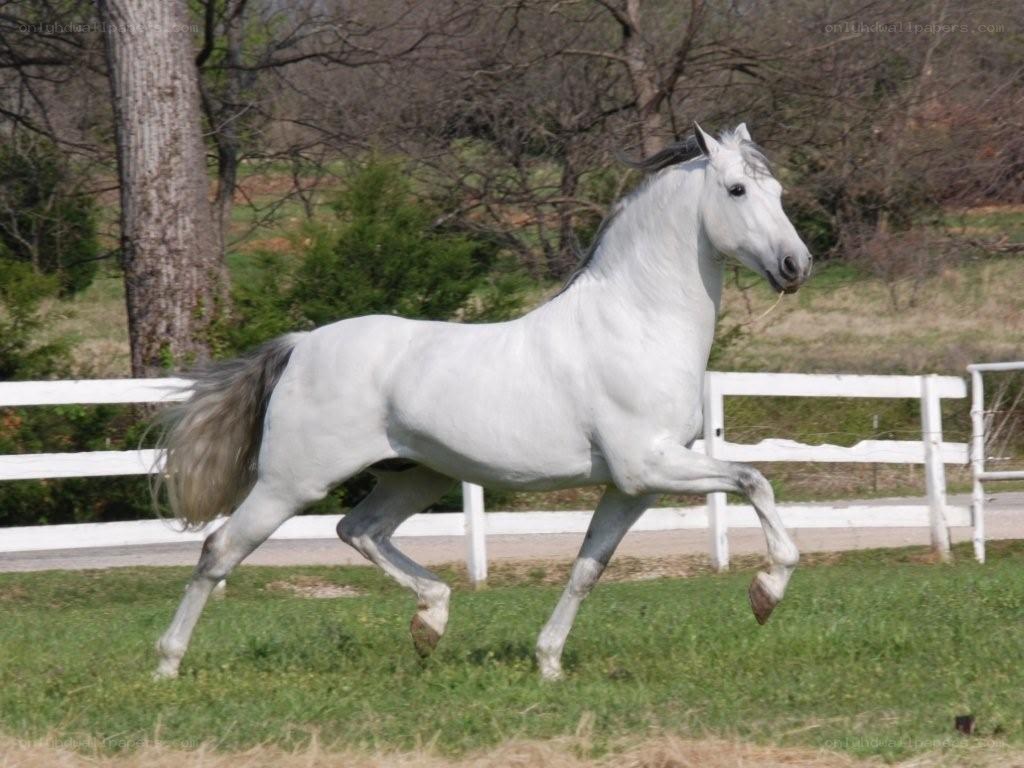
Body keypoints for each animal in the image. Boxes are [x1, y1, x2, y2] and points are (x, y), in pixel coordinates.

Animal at [153, 122, 813, 681]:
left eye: (778, 190)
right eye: (736, 189)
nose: (796, 265)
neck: (638, 323)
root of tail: (301, 345)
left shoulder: (634, 488)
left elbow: (587, 569)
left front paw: (548, 664)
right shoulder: (648, 465)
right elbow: (755, 480)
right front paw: (766, 593)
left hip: (416, 475)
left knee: (359, 529)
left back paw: (431, 620)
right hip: (290, 483)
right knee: (220, 550)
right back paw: (167, 665)